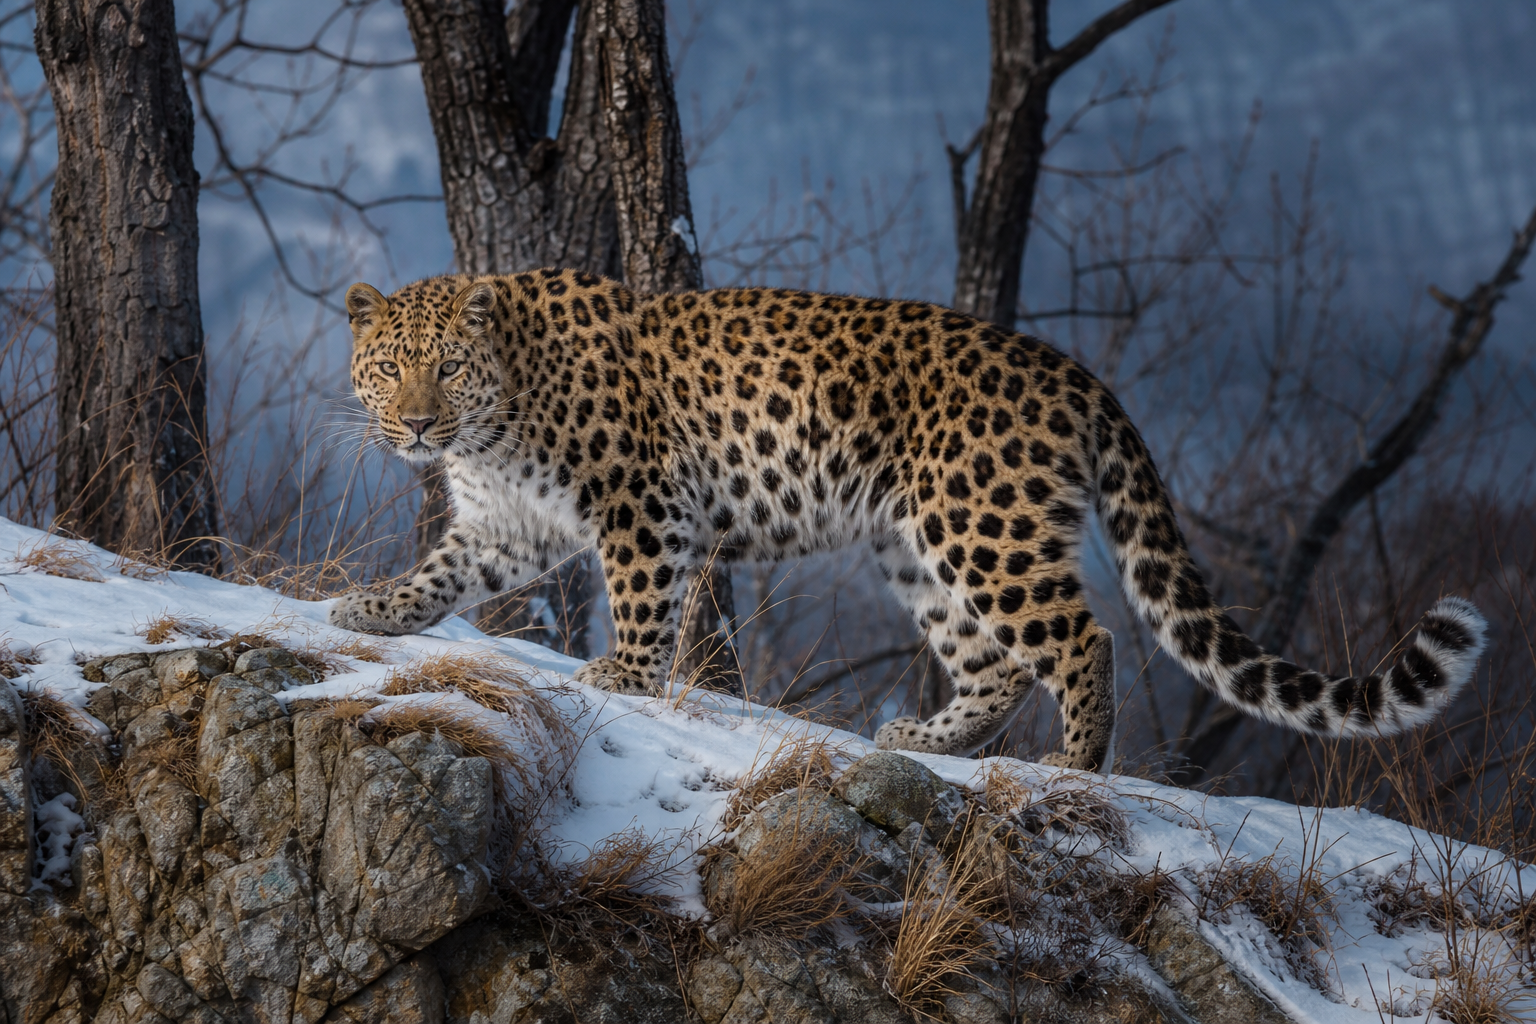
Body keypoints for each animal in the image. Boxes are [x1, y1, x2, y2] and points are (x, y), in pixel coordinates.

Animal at [329, 267, 1487, 772]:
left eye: (450, 366)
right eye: (390, 366)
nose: (418, 423)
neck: (495, 420)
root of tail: (1075, 372)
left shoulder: (641, 500)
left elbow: (645, 597)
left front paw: (621, 676)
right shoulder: (503, 526)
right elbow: (440, 576)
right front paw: (366, 614)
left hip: (982, 522)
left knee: (1082, 639)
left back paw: (1072, 768)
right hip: (918, 542)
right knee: (997, 662)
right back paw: (924, 737)